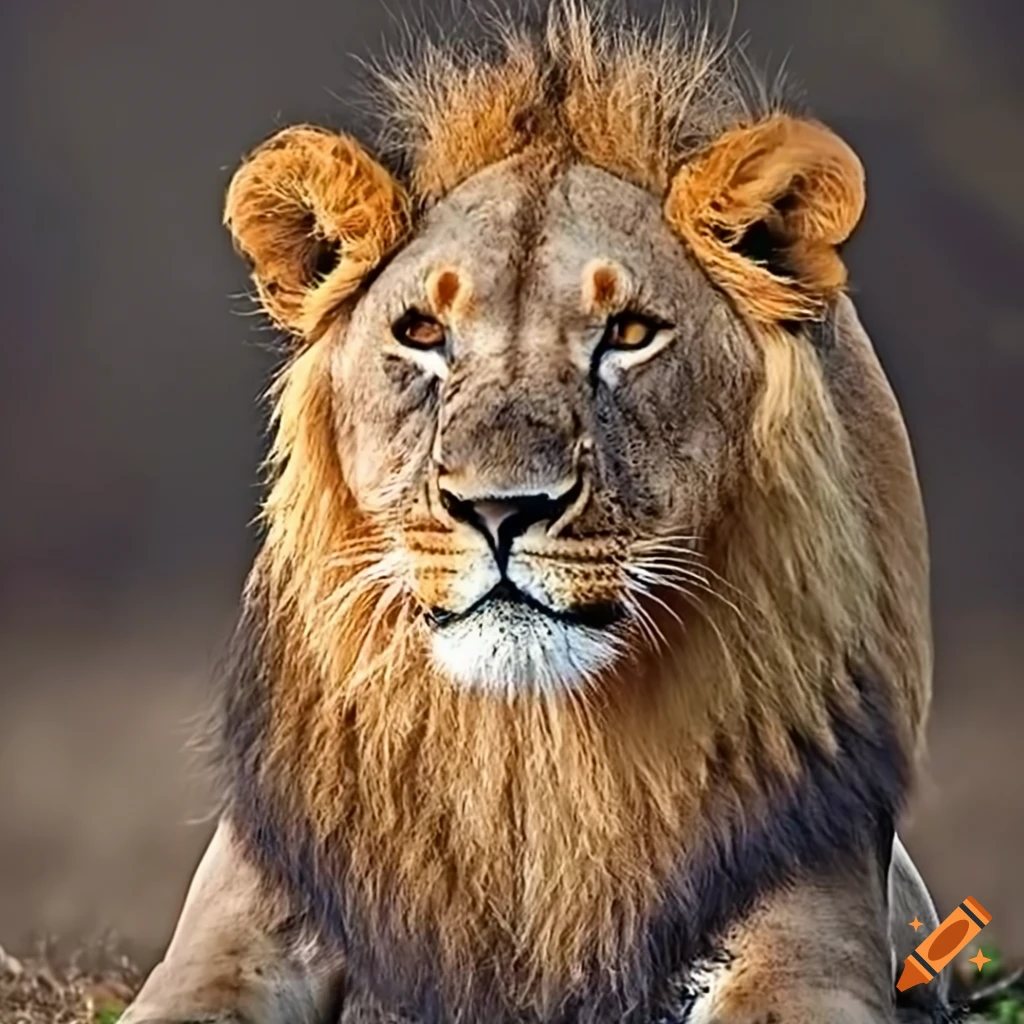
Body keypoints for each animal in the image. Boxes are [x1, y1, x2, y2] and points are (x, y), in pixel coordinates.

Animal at [121, 5, 953, 1023]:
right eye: (422, 334)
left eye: (630, 333)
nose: (499, 509)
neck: (527, 758)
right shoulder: (240, 917)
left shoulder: (807, 924)